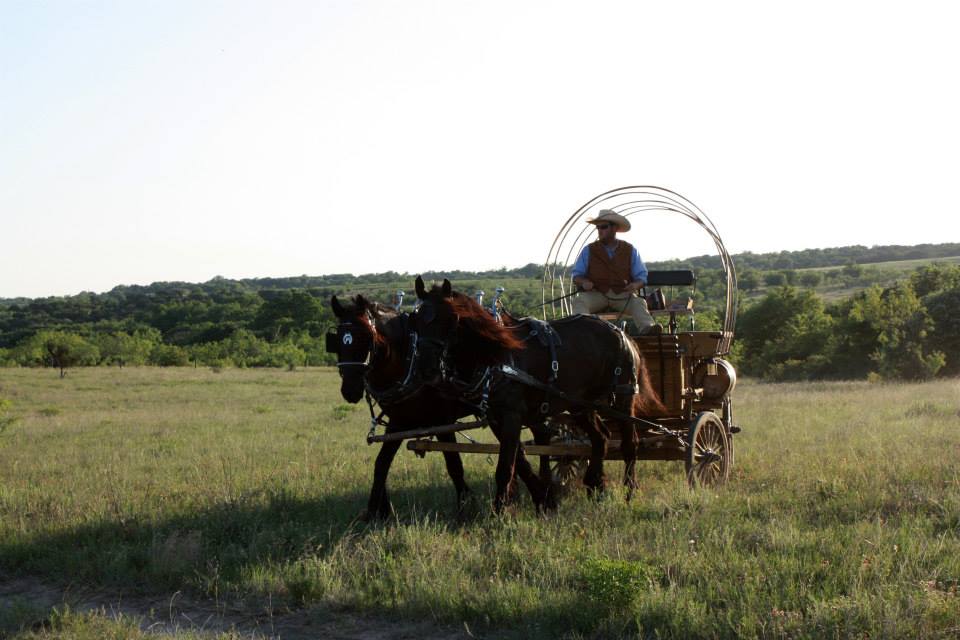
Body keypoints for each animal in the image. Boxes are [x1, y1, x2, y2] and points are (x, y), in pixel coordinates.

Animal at [408, 278, 664, 512]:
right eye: (415, 321)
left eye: (451, 319)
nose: (427, 370)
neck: (497, 356)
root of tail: (621, 332)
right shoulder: (496, 419)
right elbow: (518, 462)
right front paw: (538, 500)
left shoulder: (512, 415)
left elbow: (505, 467)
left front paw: (499, 512)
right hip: (580, 404)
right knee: (601, 437)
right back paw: (595, 486)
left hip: (623, 396)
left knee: (630, 443)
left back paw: (629, 491)